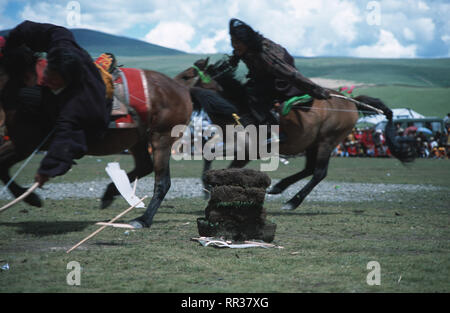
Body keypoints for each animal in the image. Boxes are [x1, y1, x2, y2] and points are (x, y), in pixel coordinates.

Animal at [0, 61, 192, 228]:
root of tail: (181, 89)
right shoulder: (22, 143)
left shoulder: (26, 143)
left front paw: (31, 198)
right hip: (137, 139)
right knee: (145, 166)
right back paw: (110, 193)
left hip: (161, 138)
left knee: (162, 182)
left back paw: (143, 219)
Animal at [176, 57, 414, 211]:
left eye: (187, 76)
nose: (172, 87)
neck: (239, 107)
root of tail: (352, 102)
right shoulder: (231, 144)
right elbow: (209, 155)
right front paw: (207, 188)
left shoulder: (248, 151)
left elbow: (231, 169)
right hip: (312, 143)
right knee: (309, 168)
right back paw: (279, 187)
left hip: (328, 140)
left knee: (319, 172)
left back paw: (292, 202)